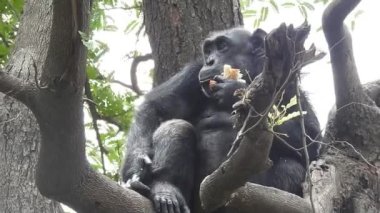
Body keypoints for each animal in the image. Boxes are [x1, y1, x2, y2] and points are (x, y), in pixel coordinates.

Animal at [121, 27, 320, 212]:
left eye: (222, 46)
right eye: (208, 50)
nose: (210, 61)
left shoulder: (290, 83)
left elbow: (311, 141)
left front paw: (235, 90)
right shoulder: (192, 73)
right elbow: (157, 107)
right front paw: (136, 167)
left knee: (292, 167)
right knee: (176, 127)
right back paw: (166, 190)